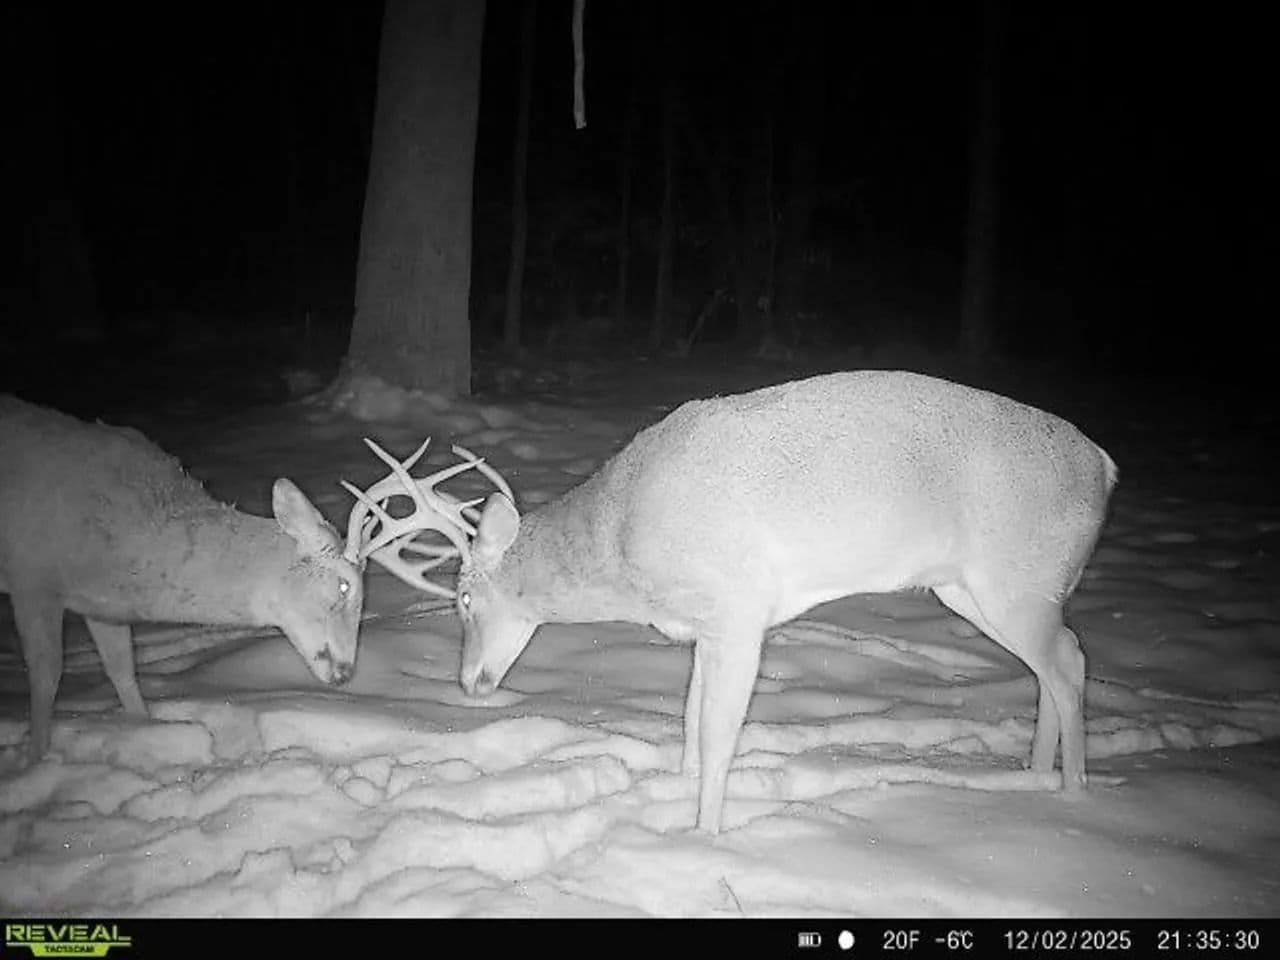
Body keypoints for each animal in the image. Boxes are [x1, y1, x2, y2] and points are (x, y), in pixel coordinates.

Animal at [0, 394, 503, 763]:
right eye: (344, 586)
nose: (346, 672)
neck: (122, 544)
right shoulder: (33, 580)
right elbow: (47, 674)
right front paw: (34, 760)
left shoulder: (101, 603)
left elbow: (123, 671)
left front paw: (146, 730)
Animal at [343, 371, 1118, 834]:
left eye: (464, 599)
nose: (469, 682)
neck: (624, 538)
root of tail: (1106, 468)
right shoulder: (702, 627)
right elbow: (688, 719)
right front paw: (674, 793)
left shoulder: (741, 609)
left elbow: (718, 735)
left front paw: (704, 835)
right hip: (971, 588)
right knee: (1050, 667)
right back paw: (1034, 777)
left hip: (1015, 578)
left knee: (1070, 660)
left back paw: (1075, 794)